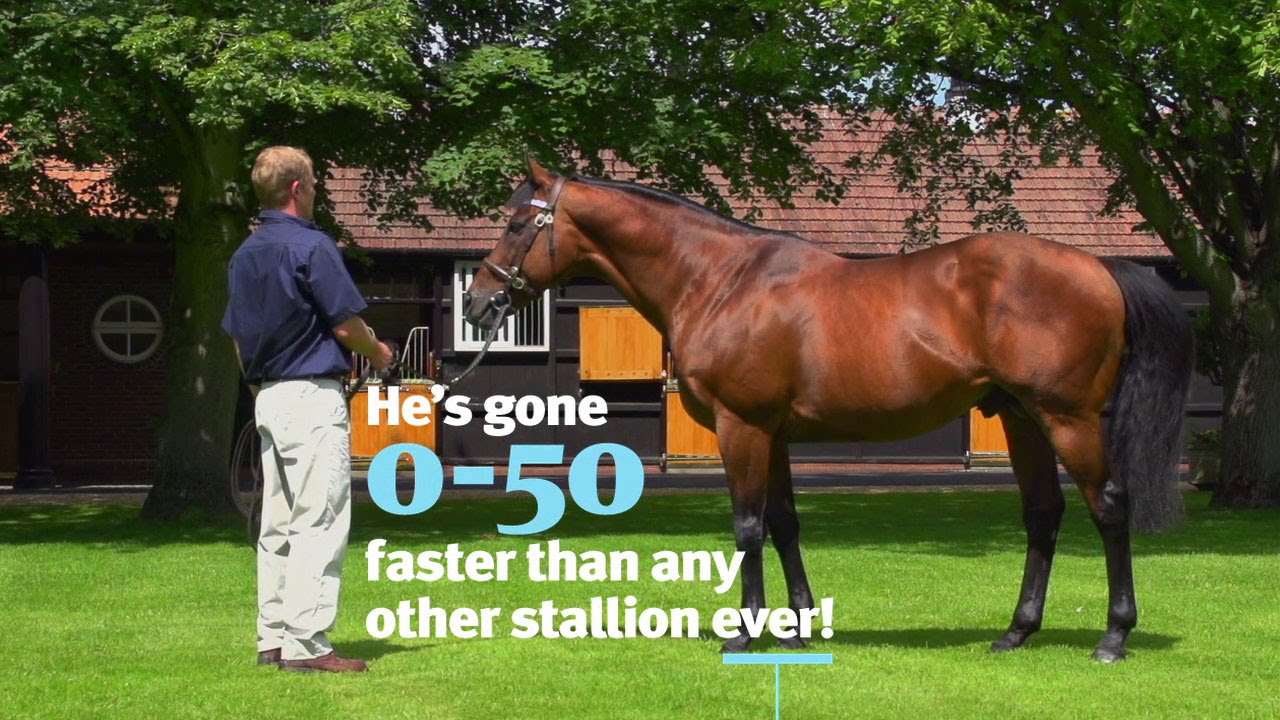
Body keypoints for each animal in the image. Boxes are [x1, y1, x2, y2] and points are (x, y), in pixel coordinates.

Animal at [462, 157, 1193, 662]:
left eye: (515, 222)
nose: (476, 302)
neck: (720, 279)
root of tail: (1097, 268)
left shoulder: (742, 426)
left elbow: (747, 527)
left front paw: (744, 633)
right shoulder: (775, 434)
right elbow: (785, 524)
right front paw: (797, 625)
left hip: (1068, 419)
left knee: (1110, 509)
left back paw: (1113, 637)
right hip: (1020, 418)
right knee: (1043, 514)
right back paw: (1016, 632)